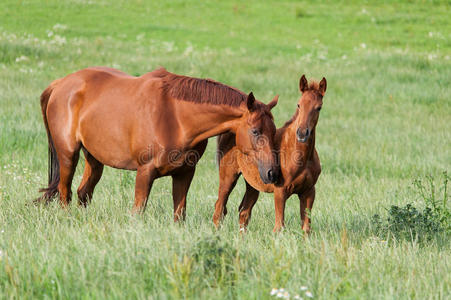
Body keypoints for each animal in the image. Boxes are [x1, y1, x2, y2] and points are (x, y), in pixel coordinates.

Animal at [37, 66, 280, 220]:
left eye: (274, 131)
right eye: (256, 131)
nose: (272, 173)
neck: (176, 117)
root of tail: (60, 84)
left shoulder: (184, 173)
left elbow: (179, 214)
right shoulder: (145, 172)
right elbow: (138, 211)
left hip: (95, 159)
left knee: (83, 193)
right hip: (68, 155)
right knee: (65, 194)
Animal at [214, 75, 326, 234]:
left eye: (319, 107)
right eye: (299, 105)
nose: (302, 133)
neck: (301, 156)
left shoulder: (309, 192)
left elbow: (306, 229)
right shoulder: (280, 192)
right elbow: (279, 228)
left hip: (252, 185)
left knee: (244, 213)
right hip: (228, 178)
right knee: (219, 210)